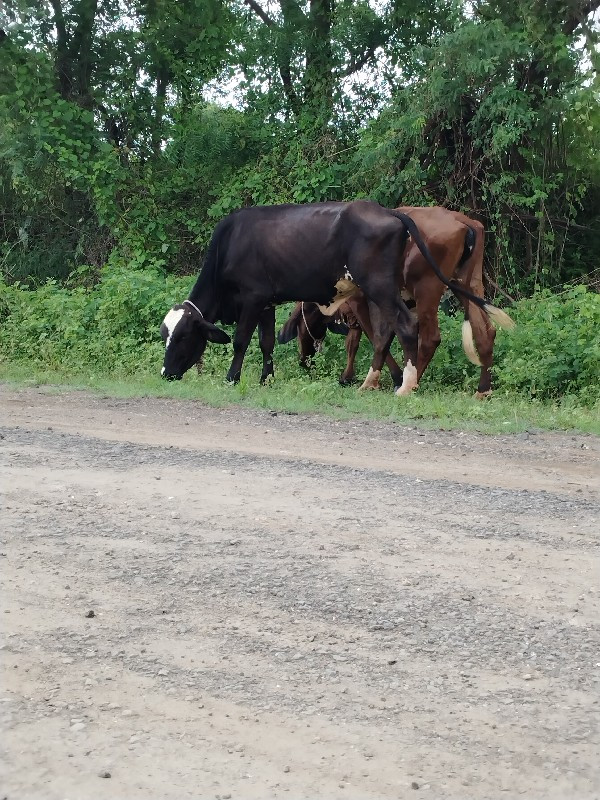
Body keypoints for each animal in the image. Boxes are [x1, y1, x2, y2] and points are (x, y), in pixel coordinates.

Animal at [158, 202, 496, 386]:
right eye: (165, 335)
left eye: (184, 336)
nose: (165, 373)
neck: (229, 244)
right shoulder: (266, 303)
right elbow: (266, 342)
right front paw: (267, 378)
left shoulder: (252, 299)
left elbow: (241, 340)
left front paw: (232, 378)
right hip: (462, 285)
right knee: (483, 331)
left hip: (390, 288)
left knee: (411, 329)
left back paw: (405, 384)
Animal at [278, 203, 510, 396]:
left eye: (298, 327)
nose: (304, 361)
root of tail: (464, 222)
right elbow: (364, 339)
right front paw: (351, 376)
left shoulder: (362, 301)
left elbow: (375, 337)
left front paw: (387, 378)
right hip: (467, 285)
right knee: (485, 332)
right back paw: (483, 390)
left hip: (427, 288)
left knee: (430, 338)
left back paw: (411, 384)